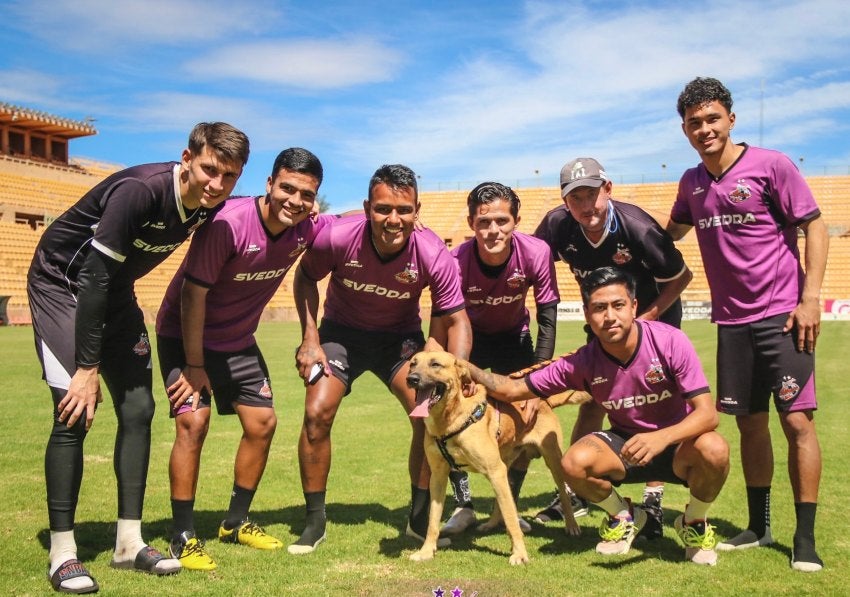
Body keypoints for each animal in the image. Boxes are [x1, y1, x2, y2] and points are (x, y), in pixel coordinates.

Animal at [408, 350, 588, 564]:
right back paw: (491, 524)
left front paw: (519, 554)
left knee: (562, 494)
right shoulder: (438, 476)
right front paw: (426, 551)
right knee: (501, 499)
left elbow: (510, 518)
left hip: (552, 462)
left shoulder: (495, 470)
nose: (411, 379)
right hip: (503, 465)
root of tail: (544, 401)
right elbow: (433, 521)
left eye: (435, 364)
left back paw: (571, 525)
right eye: (412, 364)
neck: (450, 420)